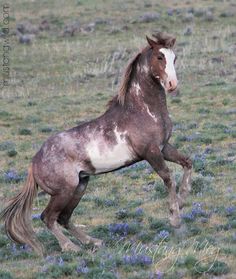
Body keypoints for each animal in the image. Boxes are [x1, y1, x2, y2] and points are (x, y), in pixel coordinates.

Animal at [0, 32, 192, 256]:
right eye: (160, 57)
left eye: (174, 57)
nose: (172, 84)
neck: (142, 110)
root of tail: (33, 163)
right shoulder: (150, 152)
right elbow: (168, 178)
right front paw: (175, 219)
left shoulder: (164, 147)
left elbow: (187, 163)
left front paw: (182, 199)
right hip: (64, 191)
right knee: (48, 217)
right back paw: (71, 247)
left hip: (80, 186)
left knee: (64, 218)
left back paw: (93, 241)